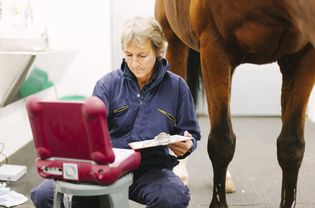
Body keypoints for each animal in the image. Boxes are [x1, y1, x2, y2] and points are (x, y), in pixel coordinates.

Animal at [156, 0, 315, 208]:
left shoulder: (303, 58)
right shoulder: (215, 47)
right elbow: (221, 143)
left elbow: (291, 146)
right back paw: (181, 174)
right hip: (174, 38)